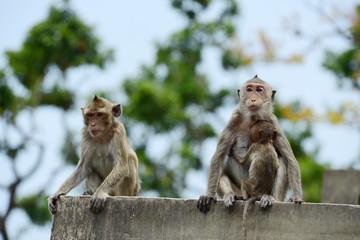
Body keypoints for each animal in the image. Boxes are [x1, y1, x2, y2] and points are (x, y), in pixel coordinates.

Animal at [198, 75, 302, 214]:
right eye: (249, 89)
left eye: (259, 90)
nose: (253, 98)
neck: (253, 119)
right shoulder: (234, 121)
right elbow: (218, 158)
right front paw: (209, 195)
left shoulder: (273, 122)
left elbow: (290, 160)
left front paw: (296, 197)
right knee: (222, 165)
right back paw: (231, 195)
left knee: (281, 161)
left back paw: (270, 198)